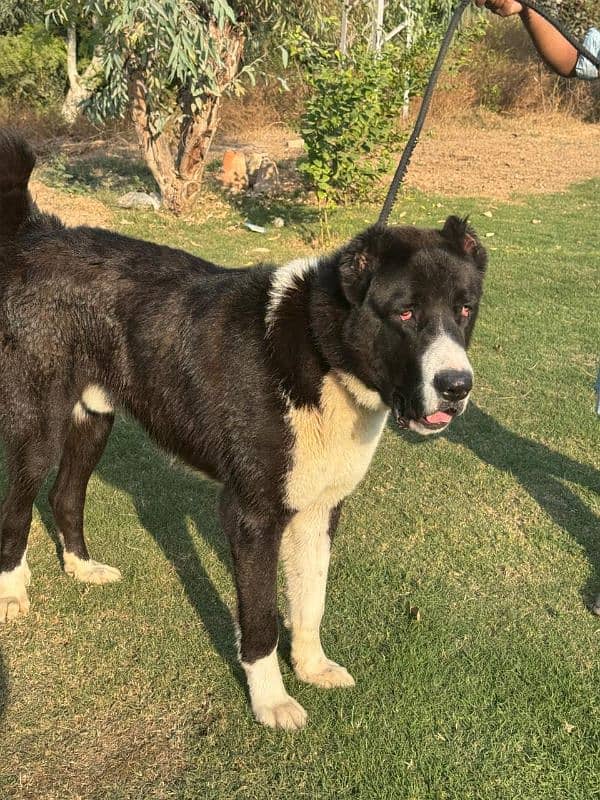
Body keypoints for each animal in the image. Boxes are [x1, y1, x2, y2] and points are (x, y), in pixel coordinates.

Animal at [0, 133, 488, 732]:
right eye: (406, 313)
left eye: (464, 309)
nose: (456, 386)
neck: (319, 351)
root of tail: (40, 233)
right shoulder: (252, 515)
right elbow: (259, 619)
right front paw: (271, 700)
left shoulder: (317, 509)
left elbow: (309, 601)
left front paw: (312, 666)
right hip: (38, 422)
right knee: (19, 503)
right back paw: (13, 590)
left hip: (94, 415)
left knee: (65, 495)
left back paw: (81, 567)